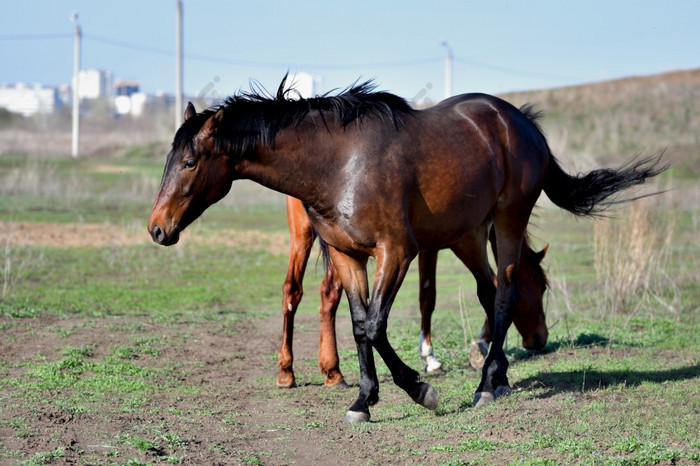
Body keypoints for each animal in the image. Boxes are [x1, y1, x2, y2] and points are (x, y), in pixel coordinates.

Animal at [276, 195, 548, 388]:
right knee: (320, 292)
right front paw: (437, 355)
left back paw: (304, 371)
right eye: (543, 286)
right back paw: (317, 370)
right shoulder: (452, 242)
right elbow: (431, 296)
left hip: (312, 235)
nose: (540, 339)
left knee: (300, 291)